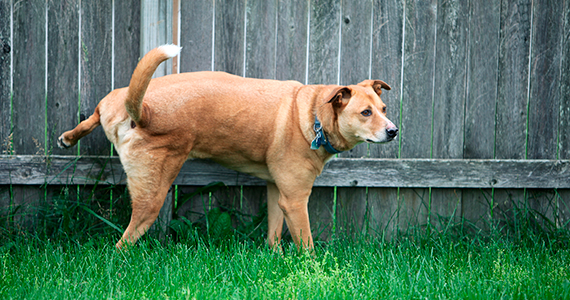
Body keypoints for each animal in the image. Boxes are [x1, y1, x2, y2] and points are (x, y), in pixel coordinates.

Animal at [56, 44, 394, 250]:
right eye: (366, 113)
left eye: (384, 108)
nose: (393, 131)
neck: (313, 114)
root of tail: (142, 111)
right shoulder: (296, 200)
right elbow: (306, 244)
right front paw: (311, 271)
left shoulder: (279, 192)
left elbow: (273, 233)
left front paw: (275, 257)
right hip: (152, 194)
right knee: (122, 243)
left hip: (112, 100)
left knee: (94, 114)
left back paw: (70, 136)